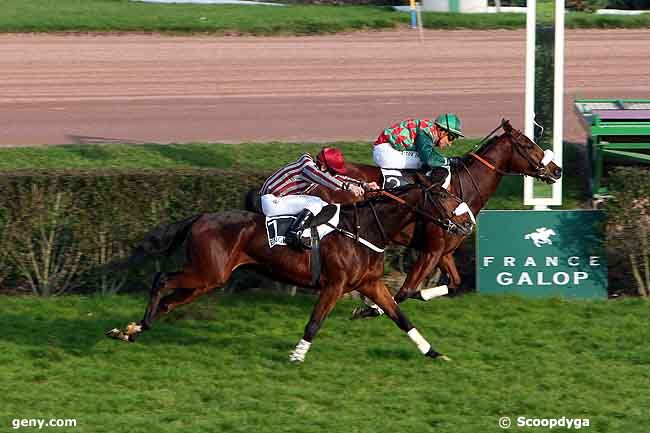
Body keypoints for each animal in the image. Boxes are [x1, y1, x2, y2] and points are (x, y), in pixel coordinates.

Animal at [106, 179, 470, 362]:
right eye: (442, 194)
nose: (465, 223)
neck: (364, 229)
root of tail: (200, 217)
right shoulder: (334, 285)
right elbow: (315, 323)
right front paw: (297, 355)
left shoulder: (369, 283)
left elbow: (401, 317)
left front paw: (434, 353)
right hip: (207, 273)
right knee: (161, 280)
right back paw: (139, 325)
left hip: (208, 280)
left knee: (169, 300)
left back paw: (131, 329)